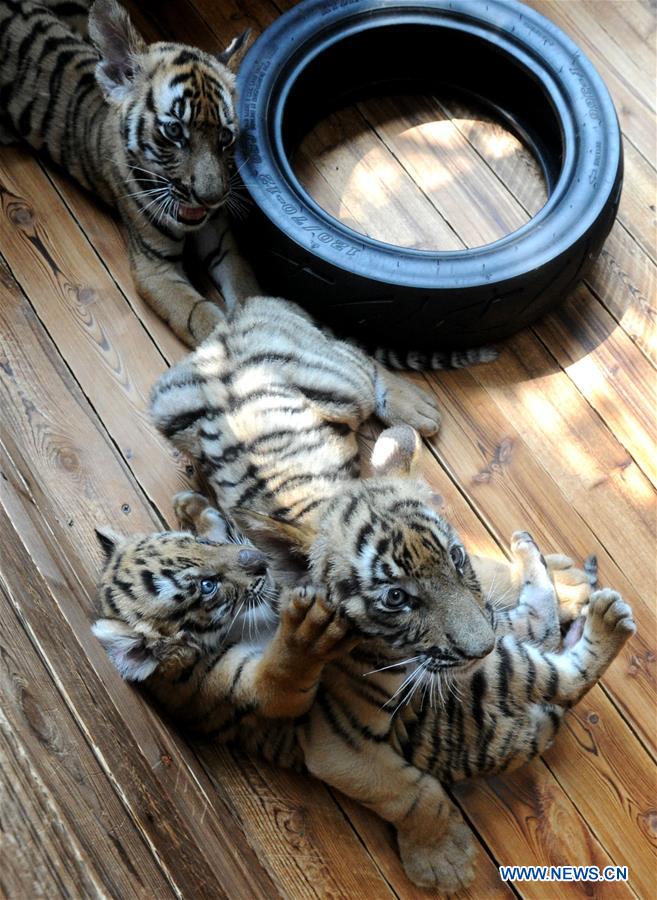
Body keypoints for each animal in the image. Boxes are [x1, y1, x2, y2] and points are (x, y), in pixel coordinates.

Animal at [92, 459, 635, 894]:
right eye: (396, 598)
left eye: (455, 558)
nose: (256, 563)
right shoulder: (333, 741)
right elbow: (414, 795)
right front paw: (442, 862)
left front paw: (197, 508)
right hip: (505, 665)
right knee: (560, 662)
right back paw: (599, 611)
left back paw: (558, 571)